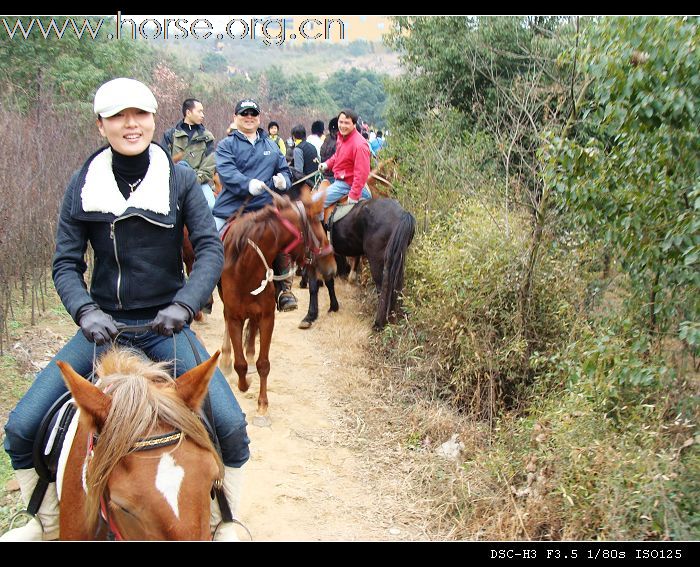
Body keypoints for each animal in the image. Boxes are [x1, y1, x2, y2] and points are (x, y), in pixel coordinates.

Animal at [220, 187, 338, 426]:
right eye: (320, 236)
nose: (332, 268)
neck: (245, 270)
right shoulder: (234, 316)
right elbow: (240, 364)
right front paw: (243, 382)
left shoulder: (267, 317)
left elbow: (263, 363)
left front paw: (262, 406)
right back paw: (226, 358)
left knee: (252, 333)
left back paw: (250, 352)